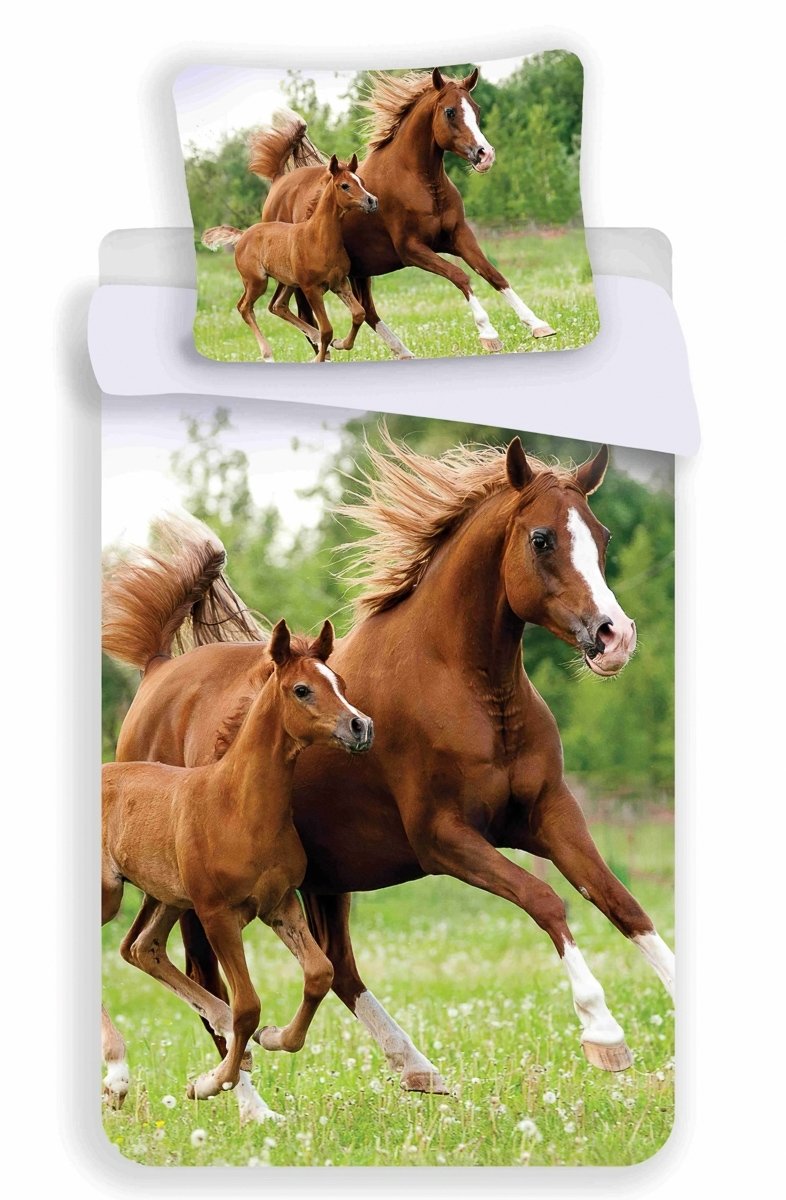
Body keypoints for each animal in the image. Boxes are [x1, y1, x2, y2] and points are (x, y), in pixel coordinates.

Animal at [101, 618, 374, 1118]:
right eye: (302, 689)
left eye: (340, 683)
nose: (360, 726)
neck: (236, 806)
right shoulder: (217, 914)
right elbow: (248, 1003)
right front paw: (211, 1082)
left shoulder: (280, 904)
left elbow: (319, 974)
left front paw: (273, 1039)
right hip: (112, 895)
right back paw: (118, 1075)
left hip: (167, 897)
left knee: (141, 948)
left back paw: (225, 1033)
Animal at [202, 154, 377, 362]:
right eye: (344, 185)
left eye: (362, 182)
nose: (372, 201)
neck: (318, 239)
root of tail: (243, 235)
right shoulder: (311, 289)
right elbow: (327, 330)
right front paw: (321, 357)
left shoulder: (339, 283)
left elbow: (359, 314)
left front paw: (341, 343)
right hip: (257, 282)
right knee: (244, 307)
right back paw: (268, 354)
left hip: (288, 283)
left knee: (278, 305)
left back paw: (313, 337)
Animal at [249, 69, 556, 360]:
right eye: (450, 111)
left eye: (476, 109)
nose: (485, 155)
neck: (419, 182)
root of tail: (278, 182)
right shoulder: (411, 249)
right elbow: (460, 276)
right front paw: (489, 334)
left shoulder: (458, 236)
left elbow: (493, 274)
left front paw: (538, 324)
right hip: (303, 278)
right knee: (302, 314)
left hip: (360, 270)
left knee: (366, 311)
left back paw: (402, 351)